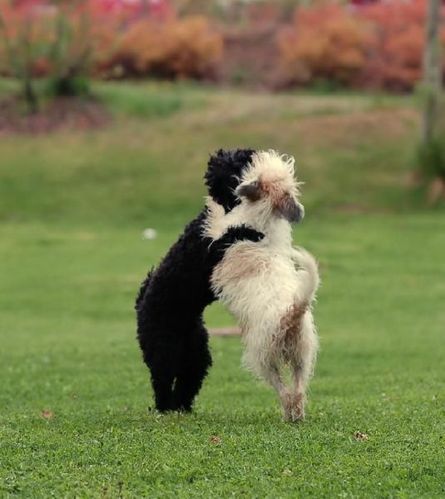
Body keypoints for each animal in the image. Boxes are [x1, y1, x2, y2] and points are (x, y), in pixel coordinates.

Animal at [134, 149, 260, 414]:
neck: (225, 209)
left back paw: (182, 407)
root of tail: (140, 306)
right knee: (162, 381)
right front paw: (251, 230)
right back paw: (164, 407)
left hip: (197, 353)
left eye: (243, 160)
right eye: (232, 170)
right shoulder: (210, 250)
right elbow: (232, 235)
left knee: (188, 380)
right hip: (163, 348)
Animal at [203, 149, 318, 422]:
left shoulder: (220, 232)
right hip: (302, 356)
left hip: (263, 356)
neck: (264, 220)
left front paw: (211, 203)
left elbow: (216, 220)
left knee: (283, 390)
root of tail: (292, 312)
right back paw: (297, 415)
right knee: (298, 389)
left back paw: (288, 413)